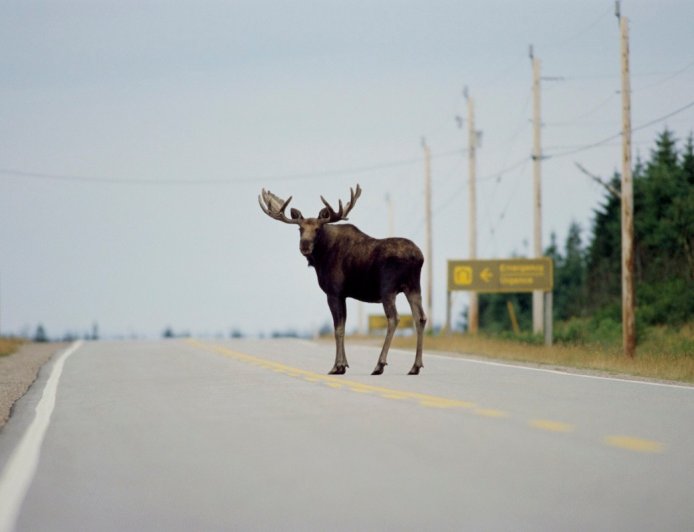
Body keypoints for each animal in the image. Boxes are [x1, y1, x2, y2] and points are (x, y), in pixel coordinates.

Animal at [258, 184, 426, 375]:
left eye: (317, 229)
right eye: (300, 229)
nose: (304, 245)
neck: (320, 257)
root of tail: (417, 257)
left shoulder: (334, 292)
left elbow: (337, 329)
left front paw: (337, 366)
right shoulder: (343, 295)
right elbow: (343, 326)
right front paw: (343, 364)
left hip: (388, 288)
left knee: (394, 318)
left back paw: (379, 364)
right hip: (413, 286)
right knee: (420, 318)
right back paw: (415, 366)